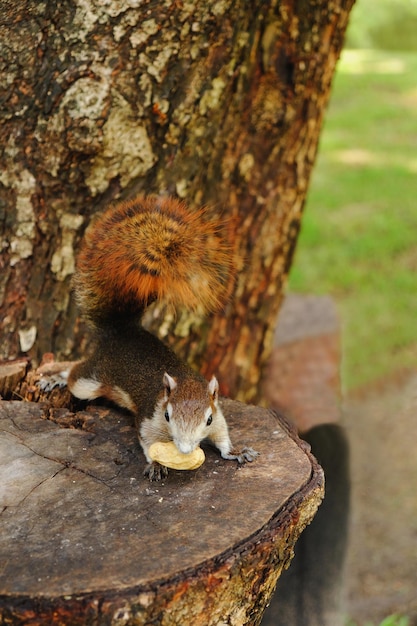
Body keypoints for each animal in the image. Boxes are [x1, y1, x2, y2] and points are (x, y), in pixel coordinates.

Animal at [67, 195, 258, 478]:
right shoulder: (148, 418)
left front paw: (236, 452)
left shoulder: (219, 416)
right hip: (93, 378)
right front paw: (156, 464)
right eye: (167, 416)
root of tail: (123, 330)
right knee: (73, 373)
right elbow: (147, 441)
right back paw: (51, 376)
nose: (186, 450)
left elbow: (223, 437)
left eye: (208, 419)